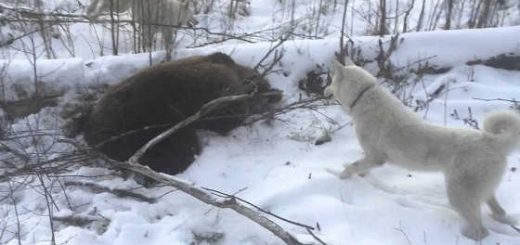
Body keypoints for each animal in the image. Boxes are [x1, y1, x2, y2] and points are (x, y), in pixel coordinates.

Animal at [324, 58, 520, 239]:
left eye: (331, 80)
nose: (324, 90)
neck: (364, 95)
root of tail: (492, 141)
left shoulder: (375, 156)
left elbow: (353, 166)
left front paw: (342, 175)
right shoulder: (371, 158)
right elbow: (361, 167)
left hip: (459, 193)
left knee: (480, 230)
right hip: (483, 190)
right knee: (498, 212)